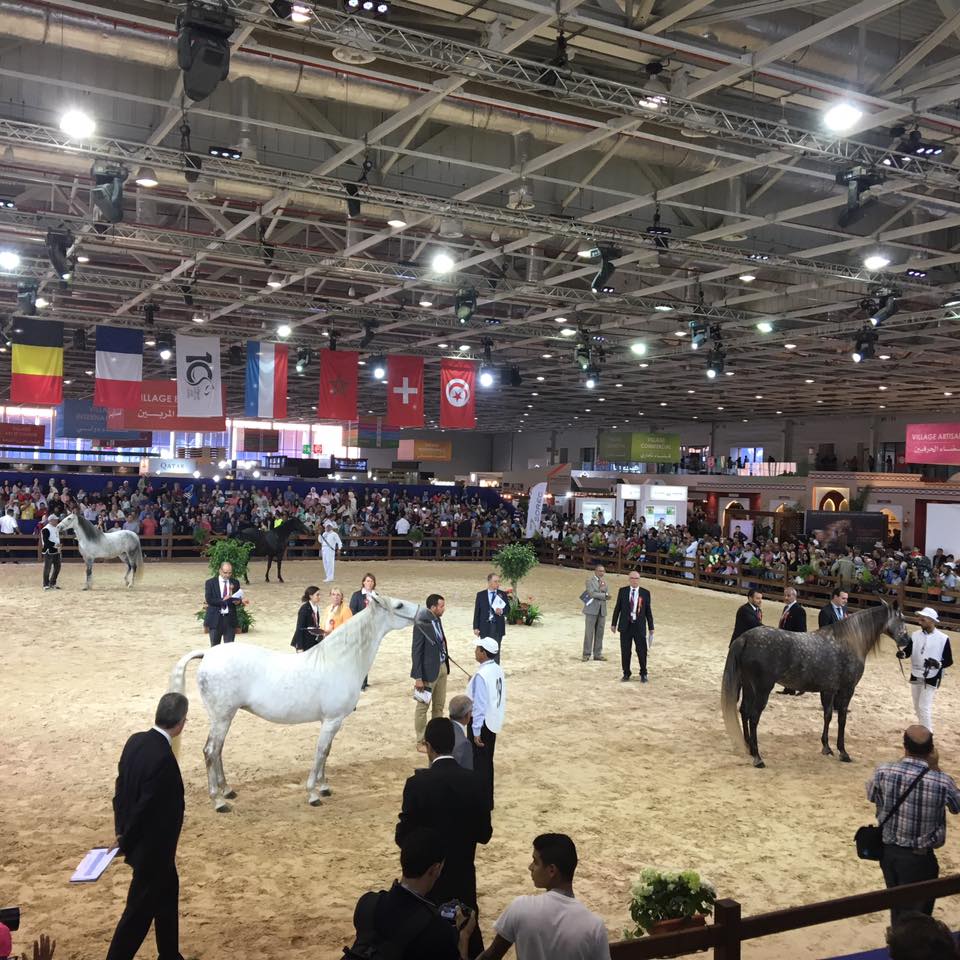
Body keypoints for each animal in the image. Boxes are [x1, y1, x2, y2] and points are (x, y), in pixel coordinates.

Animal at [168, 592, 420, 808]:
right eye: (399, 605)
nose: (424, 612)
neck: (340, 659)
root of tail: (208, 654)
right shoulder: (332, 720)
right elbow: (320, 752)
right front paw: (313, 794)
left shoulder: (331, 722)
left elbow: (326, 752)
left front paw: (324, 787)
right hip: (221, 717)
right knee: (210, 751)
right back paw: (219, 800)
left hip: (223, 718)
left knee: (217, 751)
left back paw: (228, 790)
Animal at [720, 604, 908, 768]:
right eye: (901, 618)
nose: (907, 641)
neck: (849, 641)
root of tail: (744, 638)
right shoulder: (846, 690)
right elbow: (842, 719)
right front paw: (843, 752)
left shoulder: (828, 690)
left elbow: (827, 716)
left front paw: (826, 747)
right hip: (762, 689)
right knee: (753, 717)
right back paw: (758, 757)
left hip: (748, 686)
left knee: (744, 711)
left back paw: (749, 747)